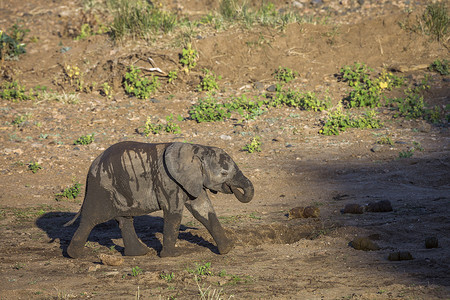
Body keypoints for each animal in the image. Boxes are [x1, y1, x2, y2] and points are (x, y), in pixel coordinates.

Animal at [63, 141, 253, 258]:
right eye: (224, 173)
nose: (233, 189)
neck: (196, 149)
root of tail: (90, 169)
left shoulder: (191, 181)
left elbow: (204, 210)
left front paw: (228, 249)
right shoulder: (167, 181)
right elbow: (174, 214)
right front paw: (173, 256)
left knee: (125, 219)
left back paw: (140, 253)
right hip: (102, 186)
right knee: (91, 219)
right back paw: (75, 255)